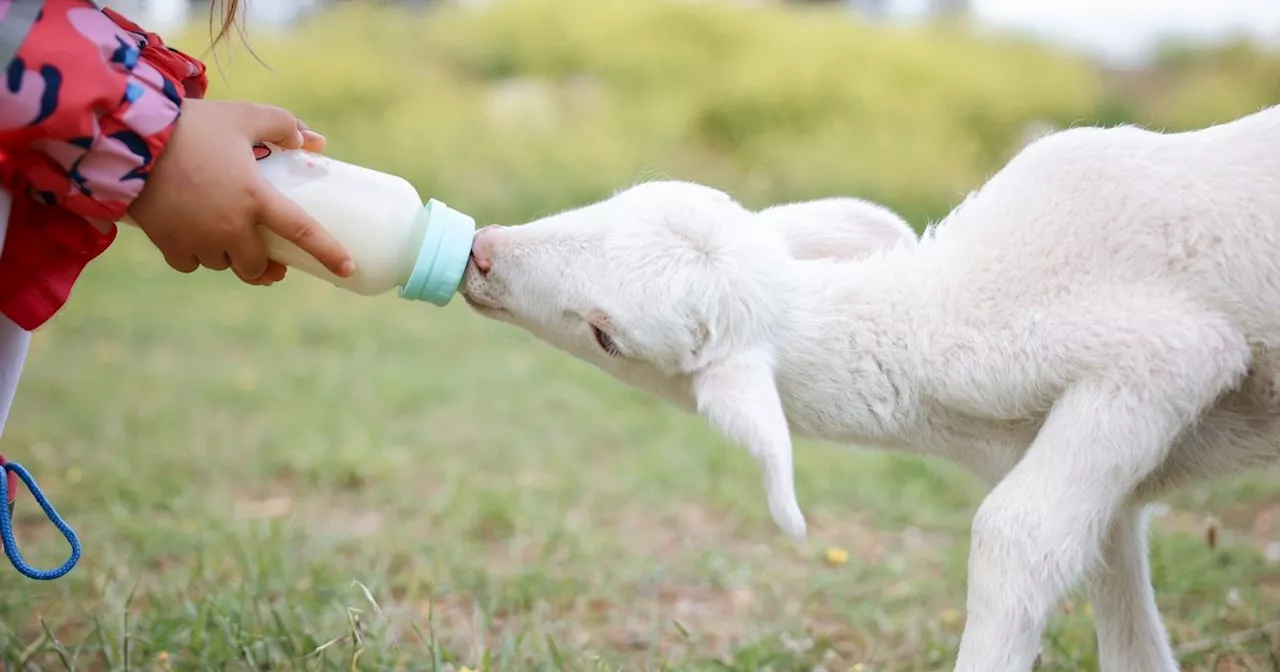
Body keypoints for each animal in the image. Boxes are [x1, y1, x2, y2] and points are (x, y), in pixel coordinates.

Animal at [458, 104, 1280, 670]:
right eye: (613, 203)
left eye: (608, 335)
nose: (481, 251)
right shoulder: (1096, 461)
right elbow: (1109, 582)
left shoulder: (1162, 356)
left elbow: (1015, 535)